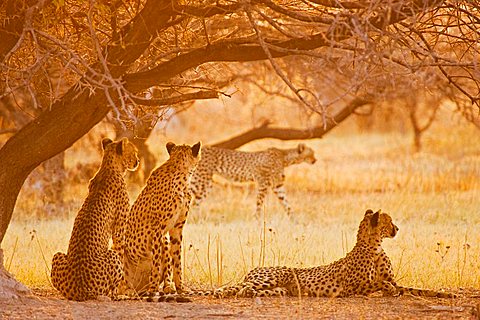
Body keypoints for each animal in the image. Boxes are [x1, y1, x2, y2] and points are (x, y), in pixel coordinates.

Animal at [51, 137, 140, 300]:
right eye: (134, 152)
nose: (137, 161)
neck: (108, 166)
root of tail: (80, 290)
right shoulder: (119, 231)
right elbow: (121, 250)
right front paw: (122, 288)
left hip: (58, 255)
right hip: (110, 258)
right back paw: (116, 295)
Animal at [124, 141, 201, 296]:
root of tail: (137, 287)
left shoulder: (176, 228)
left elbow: (176, 259)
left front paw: (180, 287)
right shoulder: (157, 229)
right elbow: (156, 260)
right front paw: (154, 288)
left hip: (164, 240)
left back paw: (166, 287)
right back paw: (127, 290)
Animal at [201, 210, 456, 298]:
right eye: (389, 221)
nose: (397, 228)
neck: (374, 246)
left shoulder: (393, 280)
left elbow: (414, 289)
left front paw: (447, 294)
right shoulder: (353, 287)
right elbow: (379, 284)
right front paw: (388, 291)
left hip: (280, 288)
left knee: (248, 290)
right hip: (273, 277)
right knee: (240, 287)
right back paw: (229, 293)